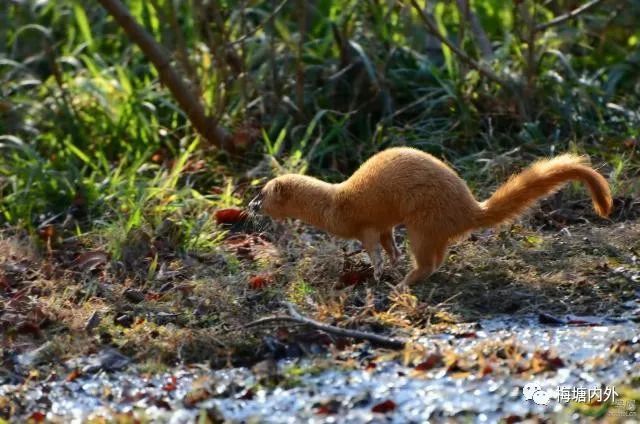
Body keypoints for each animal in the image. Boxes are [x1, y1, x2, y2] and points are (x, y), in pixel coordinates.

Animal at [248, 148, 612, 284]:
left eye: (261, 194)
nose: (249, 206)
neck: (333, 202)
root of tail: (469, 207)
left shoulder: (365, 225)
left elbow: (372, 246)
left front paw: (378, 271)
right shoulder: (383, 224)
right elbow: (388, 242)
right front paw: (392, 261)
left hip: (422, 222)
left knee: (427, 261)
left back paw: (405, 282)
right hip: (431, 228)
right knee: (438, 256)